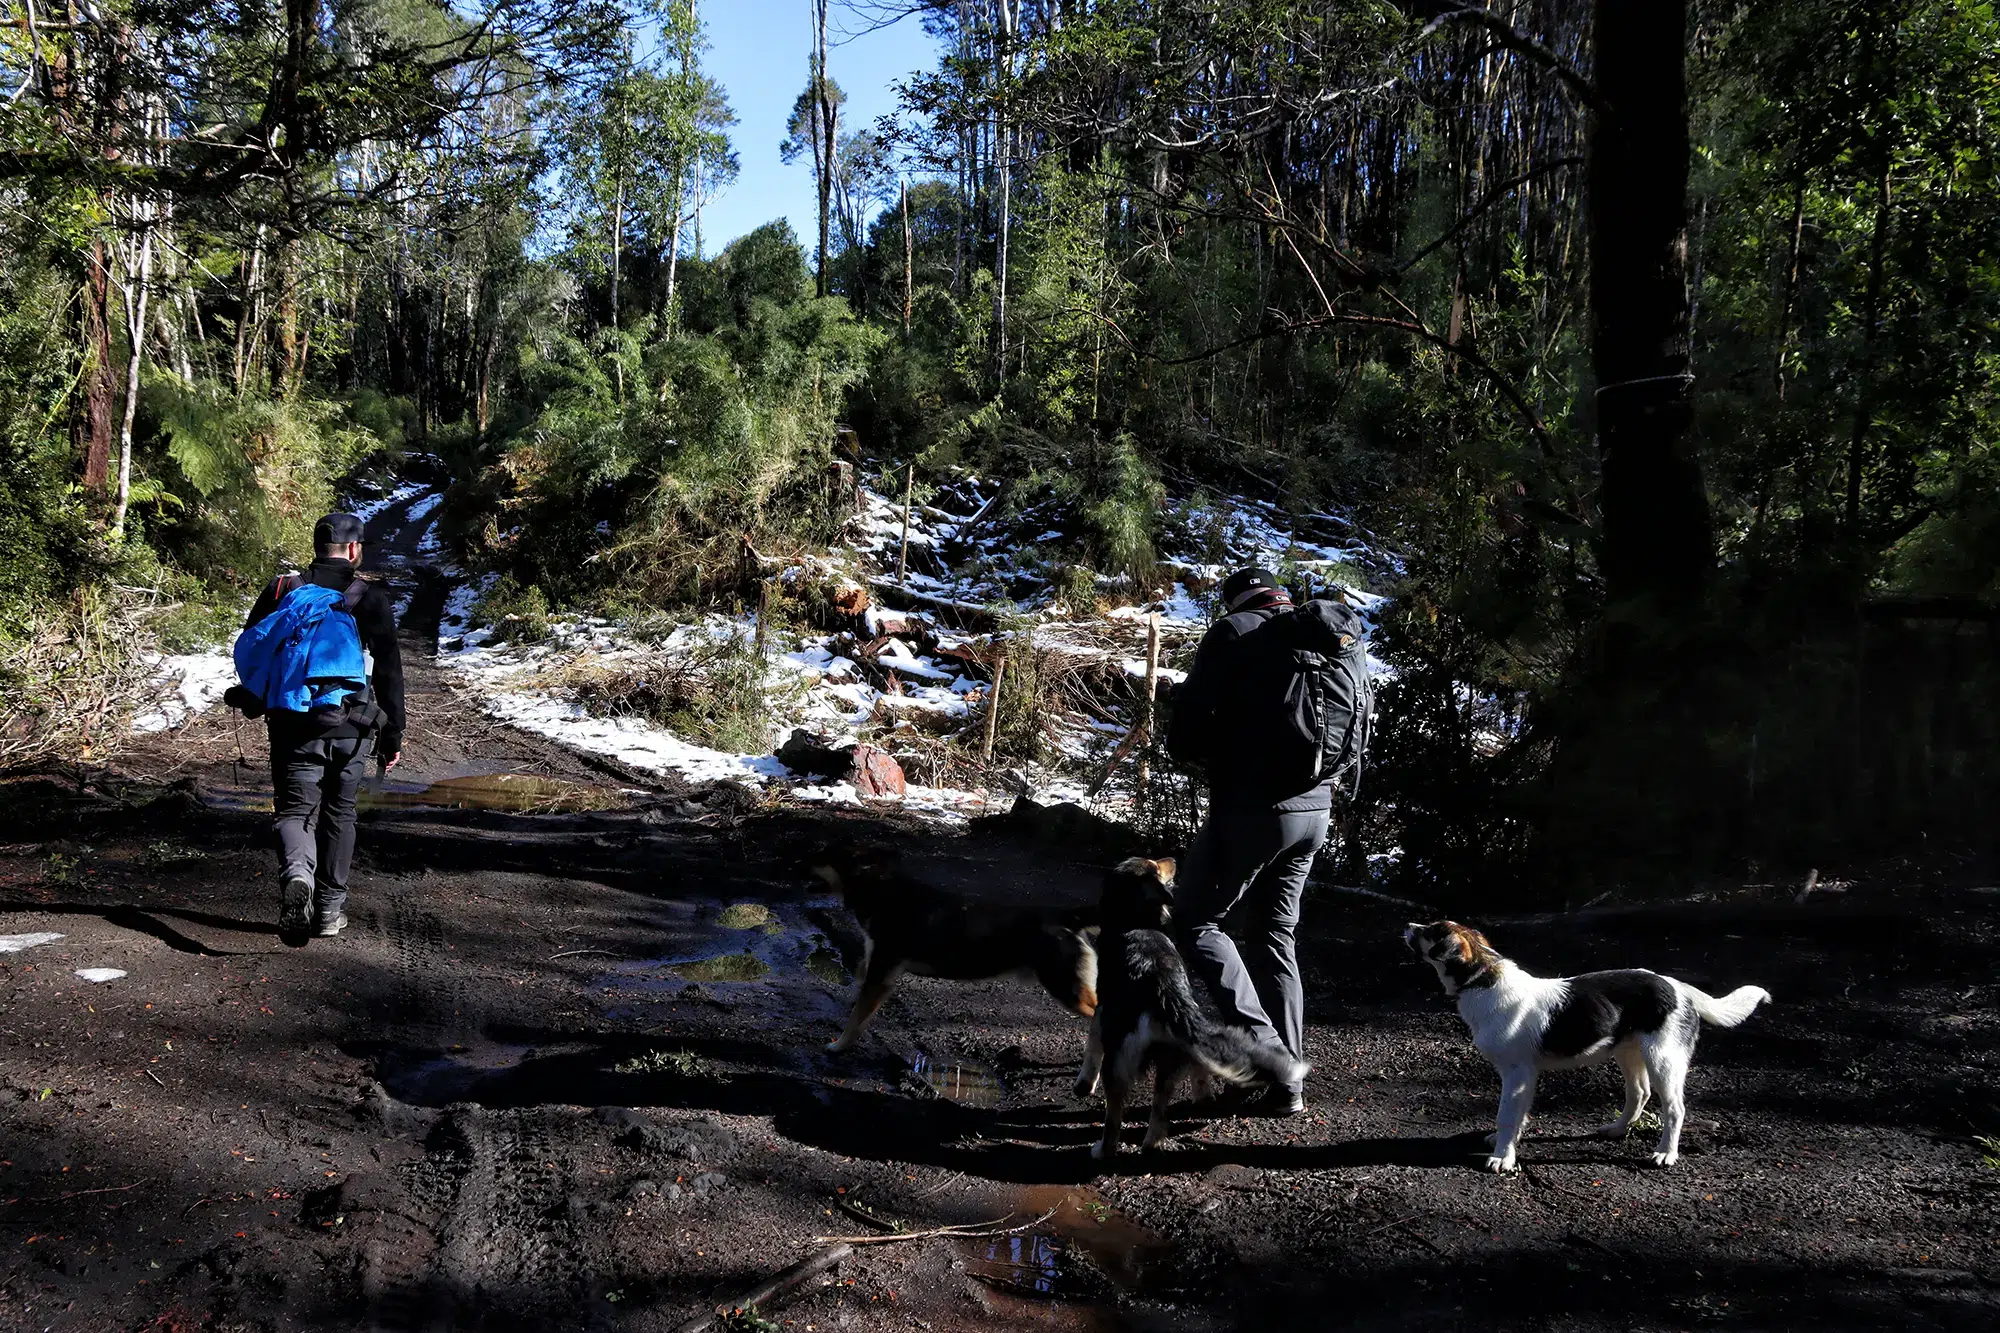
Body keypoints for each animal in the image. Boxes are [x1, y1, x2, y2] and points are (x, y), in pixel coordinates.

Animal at [808, 840, 1104, 1048]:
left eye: (821, 855)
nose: (799, 860)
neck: (881, 891)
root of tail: (1065, 916)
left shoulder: (880, 977)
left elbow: (855, 1019)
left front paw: (838, 1047)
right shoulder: (875, 971)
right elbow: (858, 1006)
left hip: (1067, 990)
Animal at [1072, 852, 1304, 1152]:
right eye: (1156, 866)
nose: (1173, 859)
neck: (1135, 921)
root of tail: (1167, 995)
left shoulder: (1103, 1009)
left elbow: (1092, 1046)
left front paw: (1084, 1083)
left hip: (1121, 1057)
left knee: (1115, 1115)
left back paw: (1102, 1150)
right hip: (1175, 1055)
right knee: (1161, 1109)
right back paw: (1171, 1126)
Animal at [1400, 920, 1776, 1168]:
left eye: (1430, 931)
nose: (1408, 924)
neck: (1483, 980)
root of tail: (1681, 988)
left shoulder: (1517, 1073)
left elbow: (1506, 1115)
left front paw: (1502, 1158)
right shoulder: (1524, 1077)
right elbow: (1517, 1116)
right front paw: (1508, 1145)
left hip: (1664, 1060)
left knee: (1674, 1109)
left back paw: (1666, 1153)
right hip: (1630, 1055)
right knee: (1639, 1094)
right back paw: (1618, 1129)